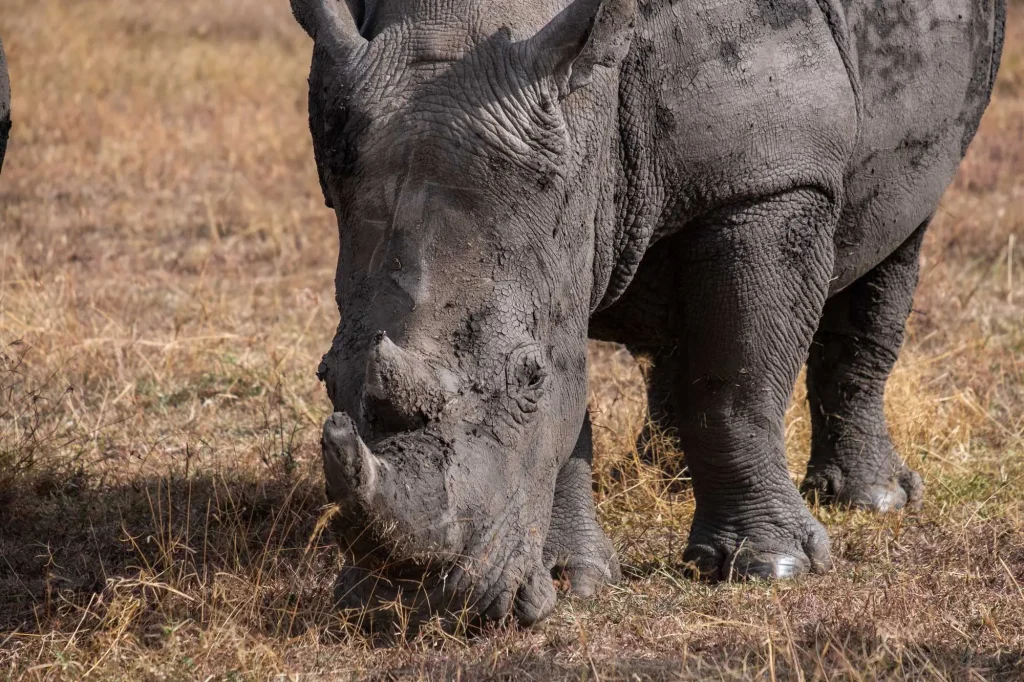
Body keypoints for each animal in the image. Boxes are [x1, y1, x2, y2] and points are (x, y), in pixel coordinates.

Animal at [291, 0, 1005, 626]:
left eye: (527, 380)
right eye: (326, 376)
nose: (411, 609)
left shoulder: (770, 180)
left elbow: (736, 383)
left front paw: (770, 570)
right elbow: (576, 393)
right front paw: (574, 581)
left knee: (897, 237)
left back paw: (874, 502)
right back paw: (665, 476)